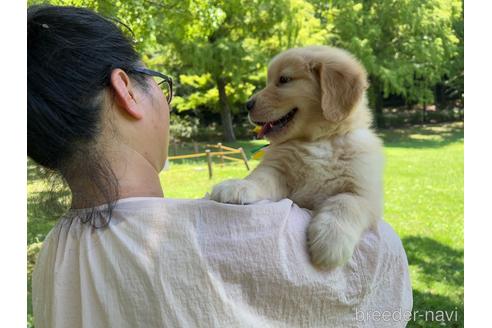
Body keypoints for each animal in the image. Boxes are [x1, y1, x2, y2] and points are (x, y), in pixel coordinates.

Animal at [209, 45, 382, 270]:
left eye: (284, 79)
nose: (247, 104)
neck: (318, 141)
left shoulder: (366, 193)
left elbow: (345, 202)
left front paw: (331, 240)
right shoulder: (278, 171)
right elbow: (260, 178)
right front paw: (238, 185)